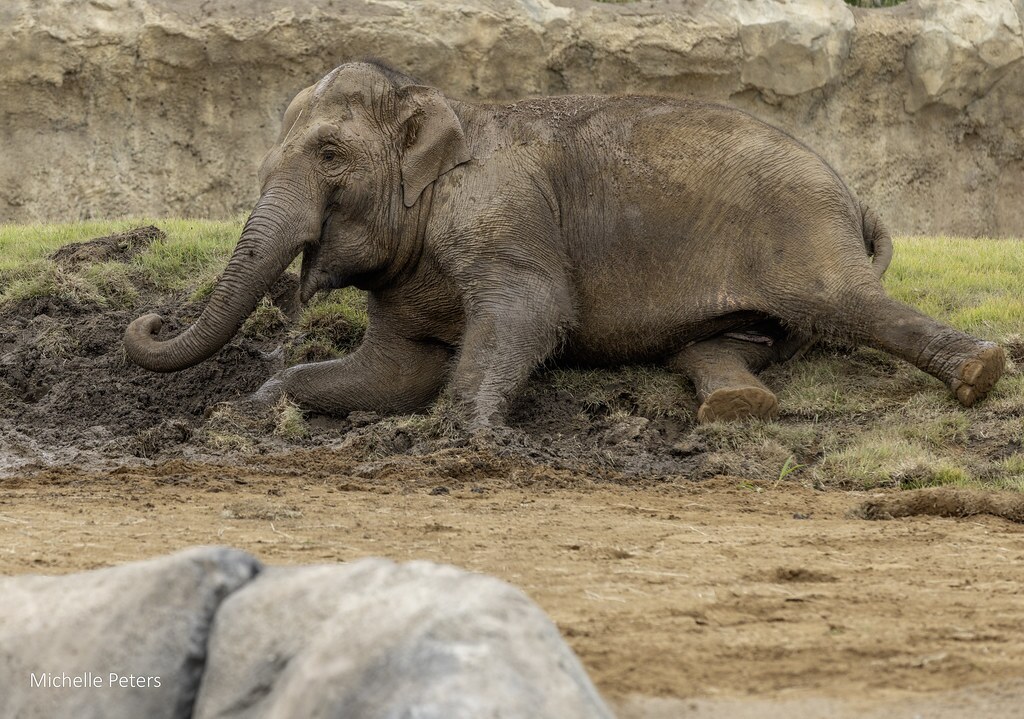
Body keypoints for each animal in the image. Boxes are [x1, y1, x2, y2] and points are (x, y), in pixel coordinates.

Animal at [125, 60, 1005, 428]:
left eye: (331, 154)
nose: (151, 320)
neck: (445, 111)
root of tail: (854, 197)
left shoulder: (500, 210)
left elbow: (536, 307)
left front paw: (461, 434)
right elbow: (393, 372)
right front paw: (249, 411)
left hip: (798, 229)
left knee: (846, 304)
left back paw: (980, 374)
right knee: (728, 339)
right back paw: (735, 404)